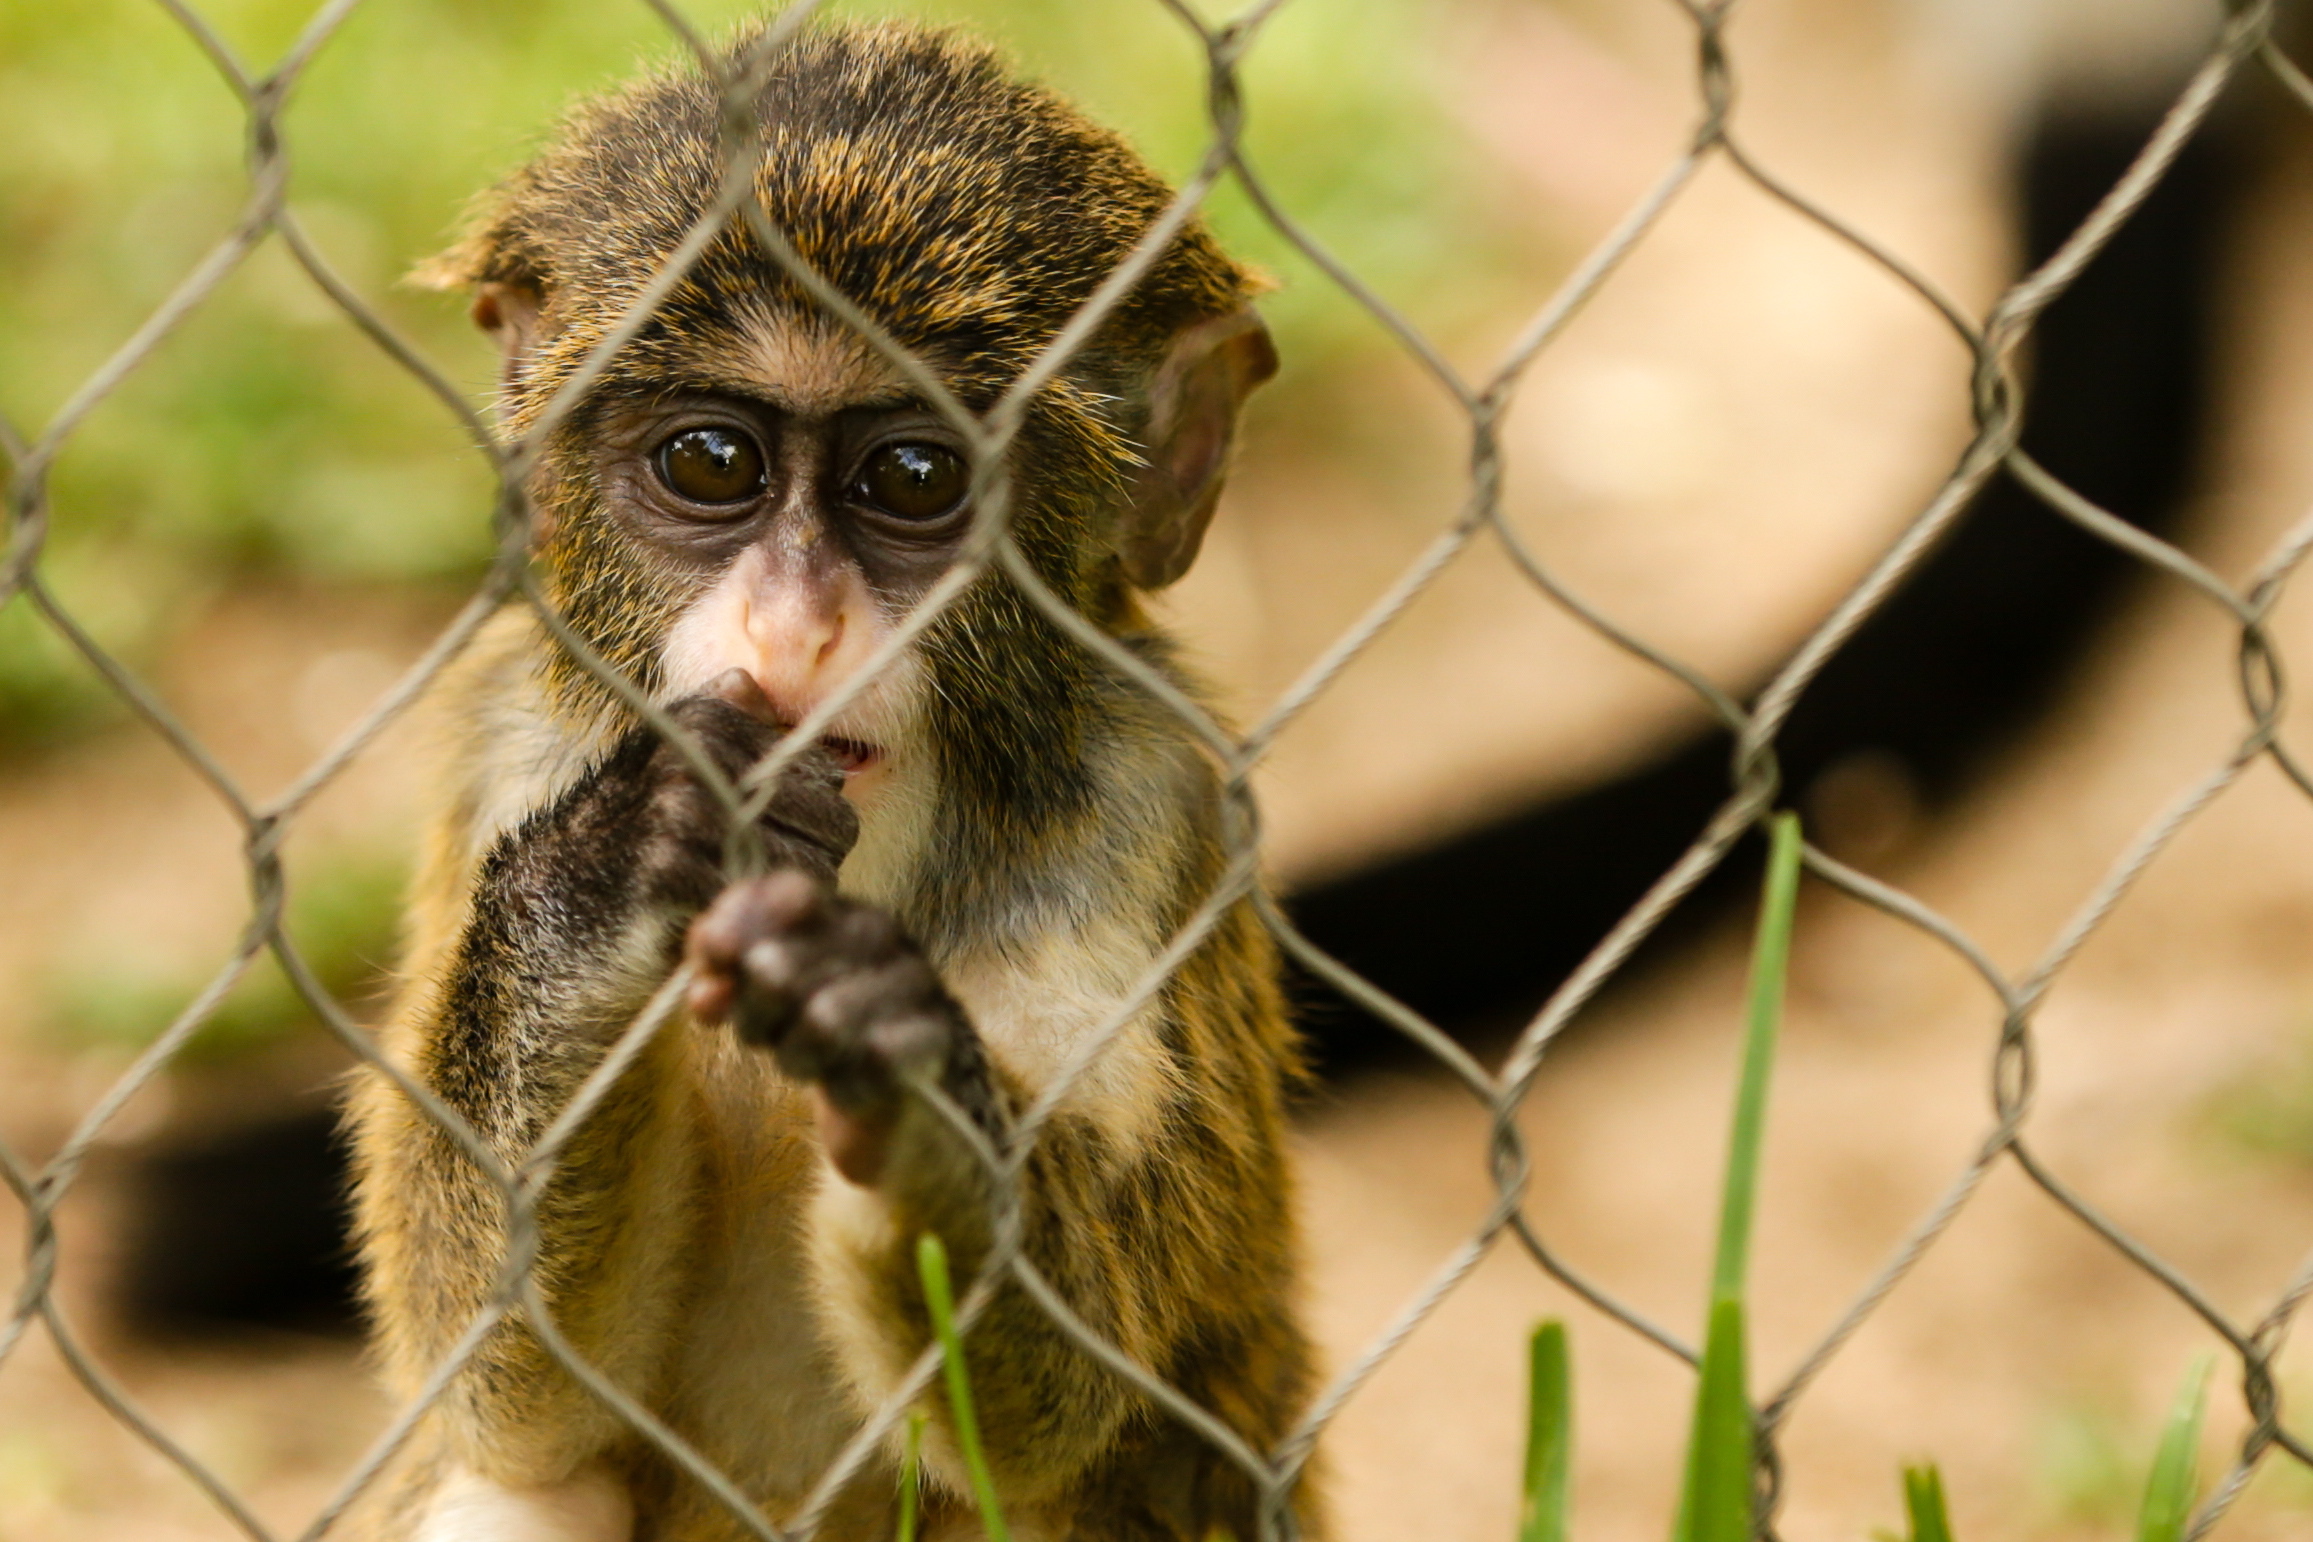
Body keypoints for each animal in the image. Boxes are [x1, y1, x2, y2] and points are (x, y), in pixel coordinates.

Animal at [340, 21, 1323, 1542]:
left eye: (912, 476)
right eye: (710, 460)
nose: (792, 628)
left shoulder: (1147, 801)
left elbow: (1065, 1404)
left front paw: (912, 1099)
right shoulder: (508, 740)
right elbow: (507, 1392)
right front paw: (607, 877)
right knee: (524, 1490)